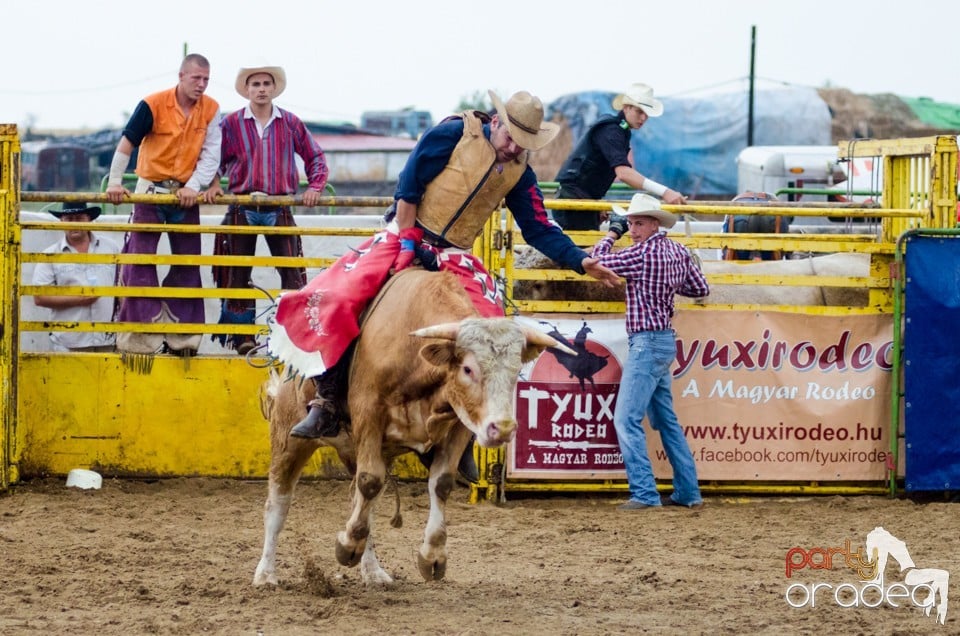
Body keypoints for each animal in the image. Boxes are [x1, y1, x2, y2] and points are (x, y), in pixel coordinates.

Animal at [251, 268, 572, 588]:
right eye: (468, 368)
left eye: (516, 371)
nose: (502, 429)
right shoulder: (369, 413)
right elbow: (369, 481)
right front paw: (346, 546)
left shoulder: (459, 424)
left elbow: (439, 484)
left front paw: (432, 557)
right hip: (290, 439)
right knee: (278, 504)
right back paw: (266, 573)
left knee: (364, 505)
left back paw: (372, 570)